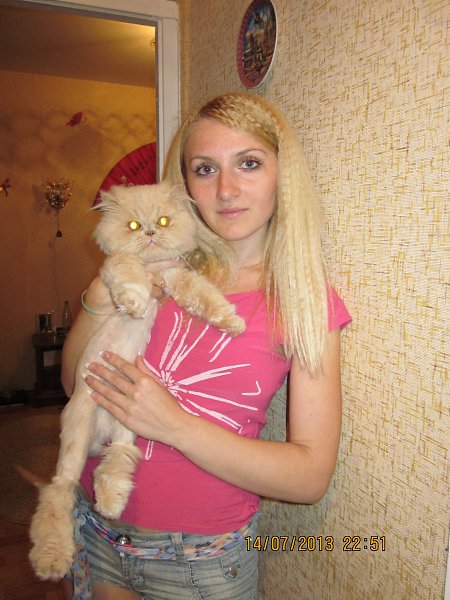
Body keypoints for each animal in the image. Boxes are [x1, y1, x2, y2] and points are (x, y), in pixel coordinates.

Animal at [29, 180, 245, 581]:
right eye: (132, 226)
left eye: (163, 221)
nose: (149, 233)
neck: (153, 266)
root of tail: (101, 430)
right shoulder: (119, 266)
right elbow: (127, 270)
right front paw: (135, 302)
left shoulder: (175, 276)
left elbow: (203, 295)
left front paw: (230, 321)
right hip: (76, 437)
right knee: (58, 492)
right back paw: (52, 559)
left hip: (126, 427)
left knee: (117, 460)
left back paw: (111, 503)